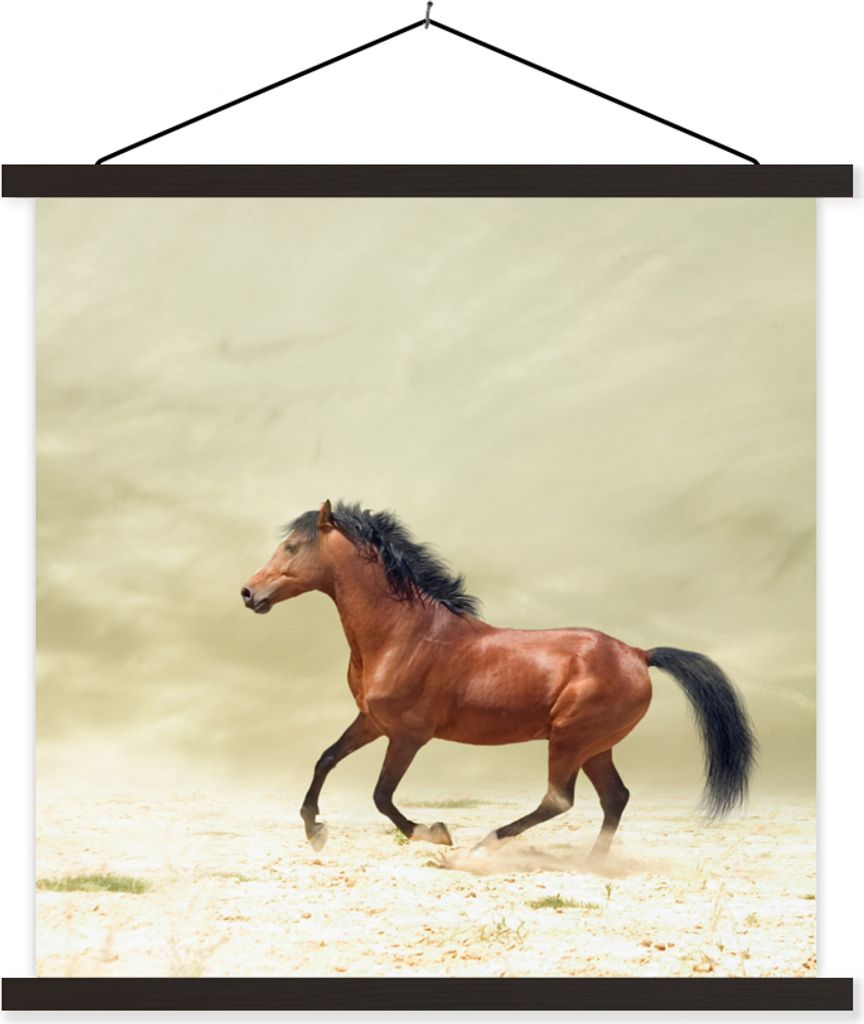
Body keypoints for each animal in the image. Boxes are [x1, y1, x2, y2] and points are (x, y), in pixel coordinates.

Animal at [241, 500, 755, 858]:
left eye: (291, 547)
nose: (249, 593)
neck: (402, 634)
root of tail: (638, 654)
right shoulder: (372, 721)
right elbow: (326, 759)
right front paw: (315, 830)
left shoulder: (408, 734)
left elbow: (382, 796)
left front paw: (436, 834)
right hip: (595, 746)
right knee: (615, 798)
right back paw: (593, 862)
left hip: (570, 740)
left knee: (559, 800)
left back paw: (487, 842)